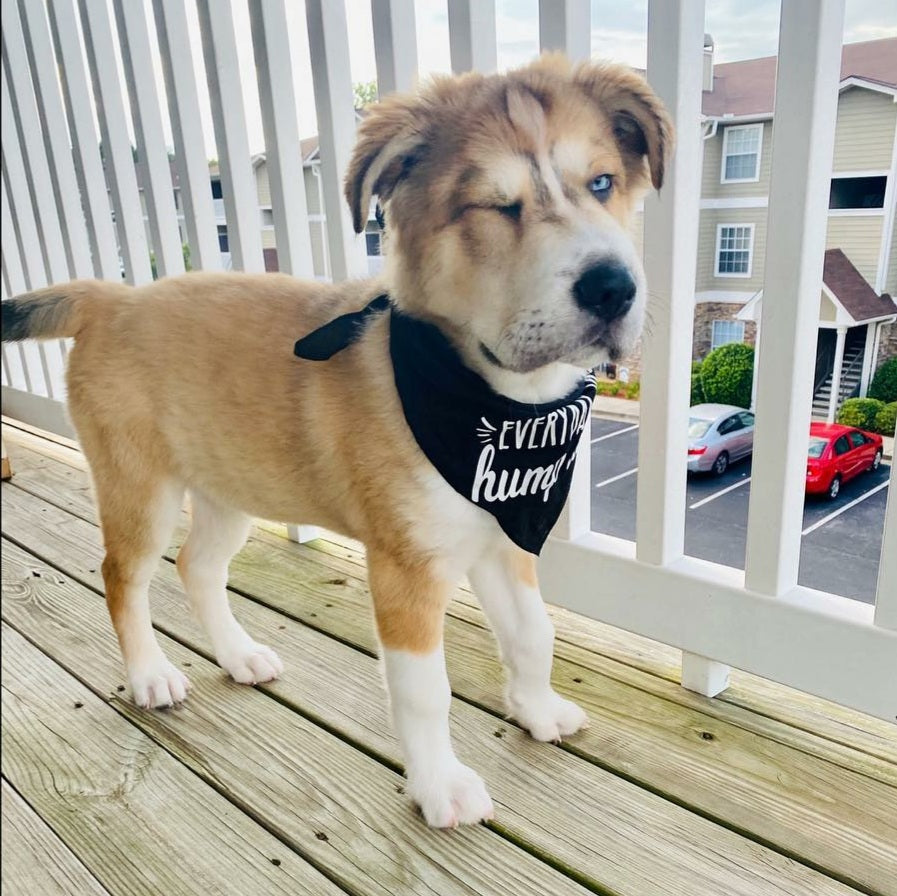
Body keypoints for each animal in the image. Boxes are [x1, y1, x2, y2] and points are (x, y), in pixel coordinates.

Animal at [1, 54, 672, 824]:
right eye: (494, 206)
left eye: (603, 183)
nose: (612, 289)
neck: (496, 402)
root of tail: (110, 297)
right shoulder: (406, 568)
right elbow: (425, 690)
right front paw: (439, 785)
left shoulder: (503, 538)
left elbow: (534, 635)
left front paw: (537, 711)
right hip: (140, 488)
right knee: (123, 576)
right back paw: (148, 675)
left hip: (228, 484)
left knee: (196, 568)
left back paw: (238, 656)